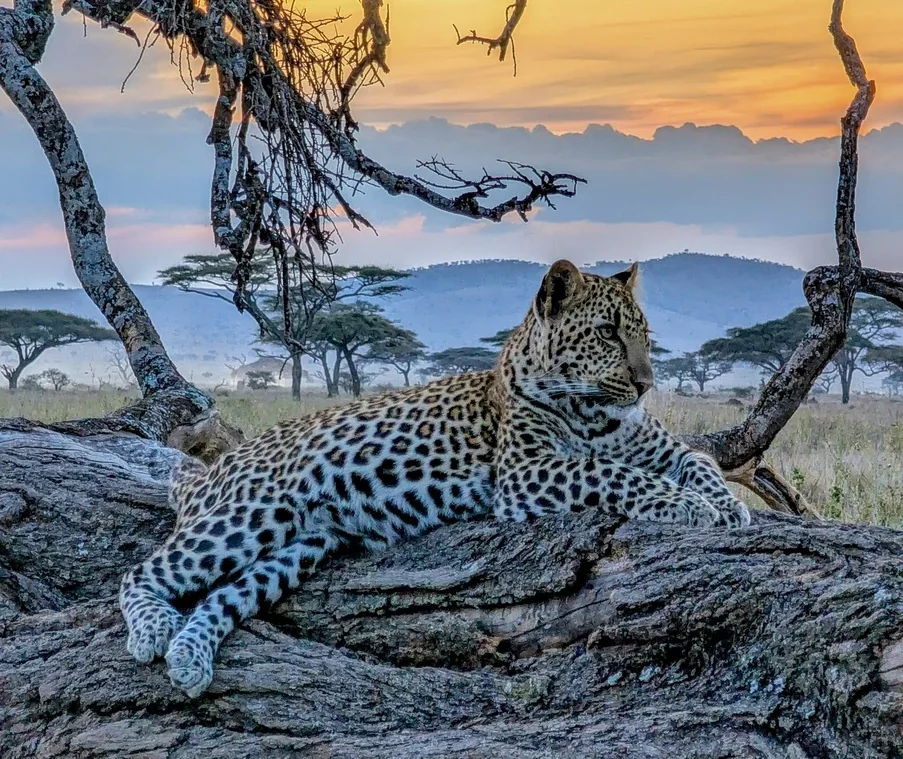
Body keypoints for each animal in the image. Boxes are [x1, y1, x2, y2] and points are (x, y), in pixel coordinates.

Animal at [120, 259, 751, 698]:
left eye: (644, 335)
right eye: (608, 334)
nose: (647, 385)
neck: (597, 413)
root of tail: (215, 467)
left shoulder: (660, 447)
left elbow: (699, 462)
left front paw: (727, 505)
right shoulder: (526, 473)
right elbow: (611, 472)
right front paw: (693, 507)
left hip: (301, 544)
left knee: (221, 595)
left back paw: (190, 657)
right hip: (255, 510)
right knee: (142, 573)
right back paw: (154, 631)